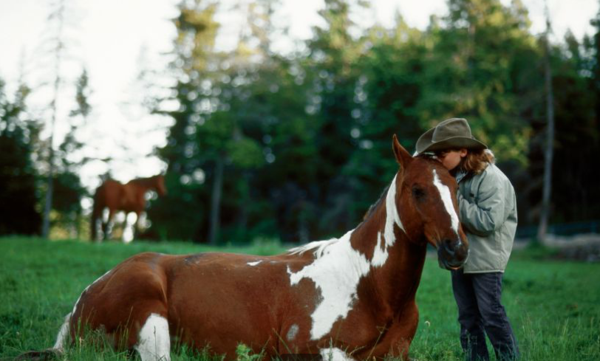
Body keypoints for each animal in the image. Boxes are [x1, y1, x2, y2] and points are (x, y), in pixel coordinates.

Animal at [30, 136, 468, 360]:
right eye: (418, 189)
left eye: (456, 187)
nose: (456, 250)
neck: (368, 285)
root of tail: (83, 301)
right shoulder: (311, 351)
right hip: (151, 316)